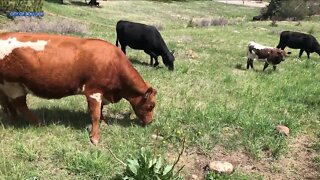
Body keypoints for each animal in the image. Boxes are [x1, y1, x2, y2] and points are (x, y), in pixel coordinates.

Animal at [0, 32, 158, 145]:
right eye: (151, 105)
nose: (150, 122)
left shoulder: (100, 93)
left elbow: (100, 110)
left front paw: (104, 123)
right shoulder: (94, 91)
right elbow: (95, 114)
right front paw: (95, 138)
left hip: (7, 86)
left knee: (8, 103)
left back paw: (13, 119)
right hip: (13, 85)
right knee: (20, 105)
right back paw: (38, 122)